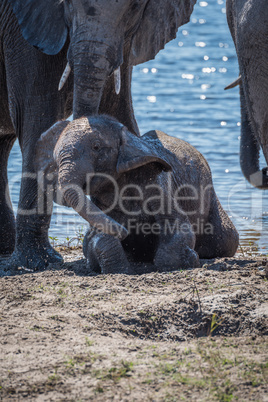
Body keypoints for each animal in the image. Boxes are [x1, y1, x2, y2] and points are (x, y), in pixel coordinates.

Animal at [35, 114, 239, 274]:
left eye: (96, 147)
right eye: (55, 158)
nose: (125, 232)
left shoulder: (159, 181)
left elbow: (177, 226)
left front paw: (189, 260)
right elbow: (95, 238)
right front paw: (119, 268)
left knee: (226, 240)